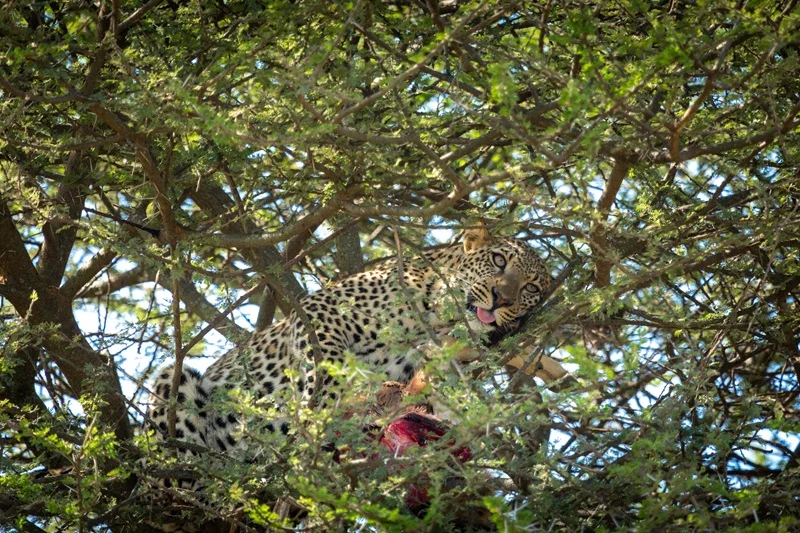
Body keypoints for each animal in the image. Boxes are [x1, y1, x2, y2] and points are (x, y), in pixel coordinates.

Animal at [147, 227, 551, 457]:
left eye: (531, 288)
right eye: (498, 260)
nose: (501, 299)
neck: (436, 319)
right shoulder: (317, 310)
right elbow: (328, 360)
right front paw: (322, 405)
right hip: (173, 381)